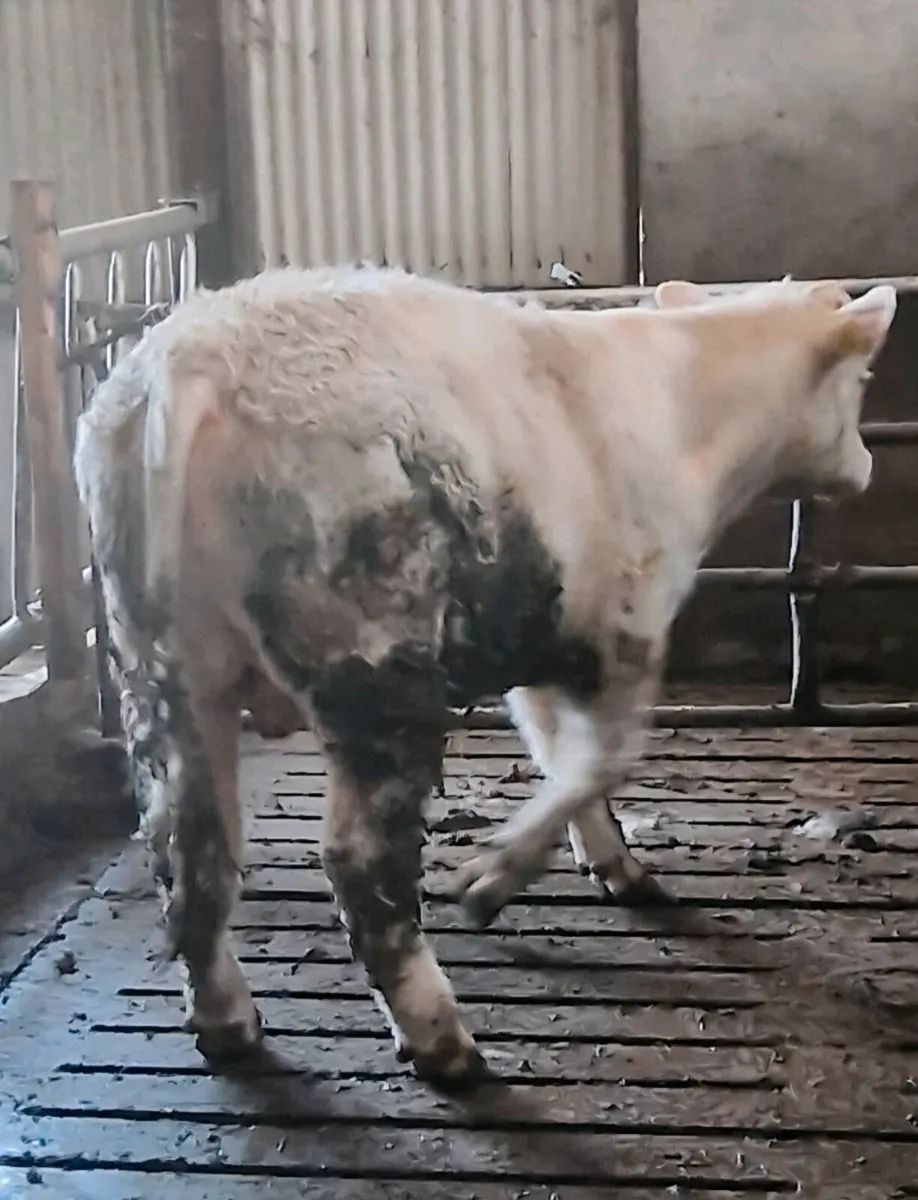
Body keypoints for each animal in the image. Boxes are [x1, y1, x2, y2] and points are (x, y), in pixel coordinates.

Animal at [74, 265, 896, 1085]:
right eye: (862, 378)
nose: (867, 467)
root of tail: (186, 369)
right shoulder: (627, 625)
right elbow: (606, 759)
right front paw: (483, 886)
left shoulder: (543, 648)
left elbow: (560, 757)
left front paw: (619, 872)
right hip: (372, 659)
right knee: (356, 861)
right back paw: (446, 1043)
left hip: (159, 663)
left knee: (189, 843)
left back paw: (229, 1028)